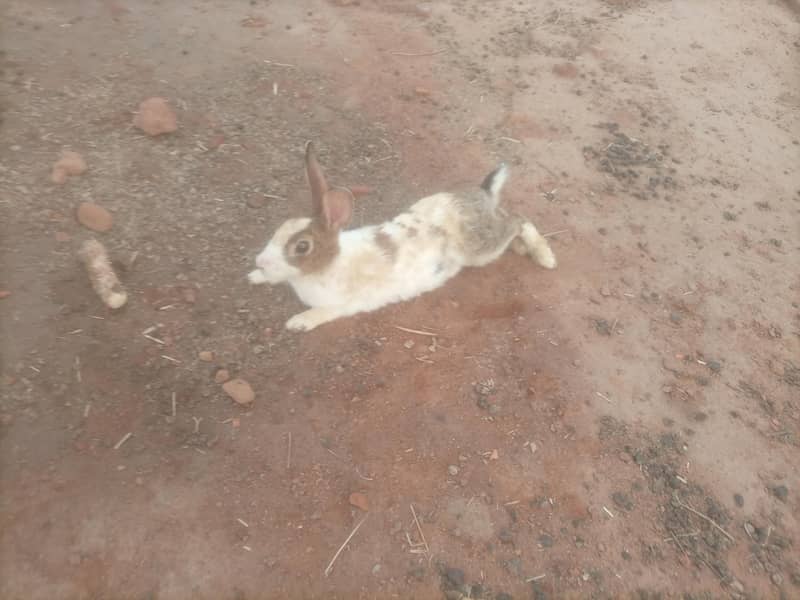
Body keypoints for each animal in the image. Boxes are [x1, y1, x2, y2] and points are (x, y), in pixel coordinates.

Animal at [248, 142, 556, 331]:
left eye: (302, 246)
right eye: (279, 230)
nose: (260, 260)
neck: (330, 263)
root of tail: (484, 194)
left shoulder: (341, 305)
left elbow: (321, 313)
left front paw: (297, 322)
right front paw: (254, 276)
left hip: (483, 248)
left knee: (519, 220)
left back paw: (545, 257)